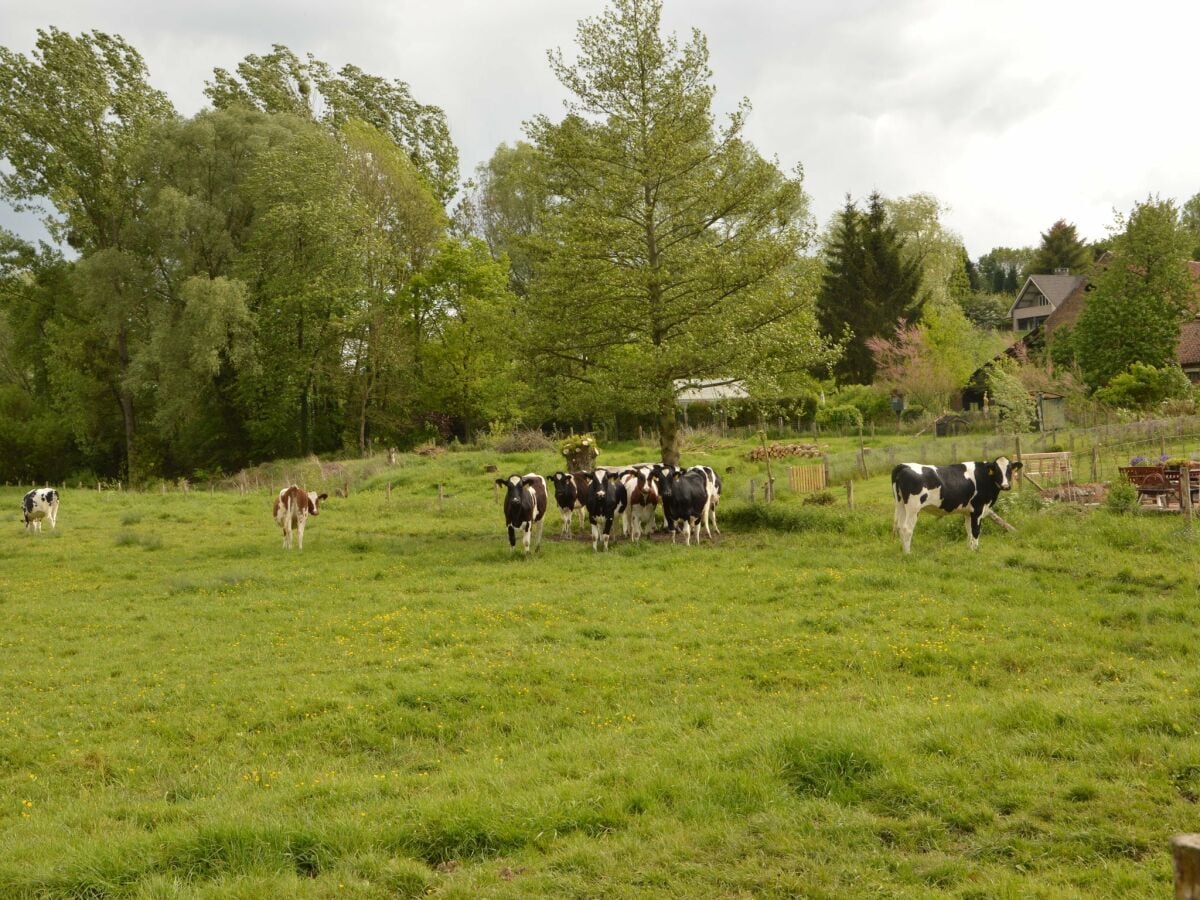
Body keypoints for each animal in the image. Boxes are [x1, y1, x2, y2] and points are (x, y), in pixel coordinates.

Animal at [892, 458, 1022, 556]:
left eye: (1009, 470)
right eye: (997, 470)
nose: (1006, 486)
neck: (985, 477)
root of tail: (904, 465)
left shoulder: (968, 512)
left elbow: (969, 530)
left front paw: (970, 550)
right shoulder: (978, 509)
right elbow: (976, 530)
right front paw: (976, 550)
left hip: (900, 504)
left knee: (900, 527)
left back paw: (903, 551)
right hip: (913, 508)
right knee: (907, 528)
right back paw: (908, 553)